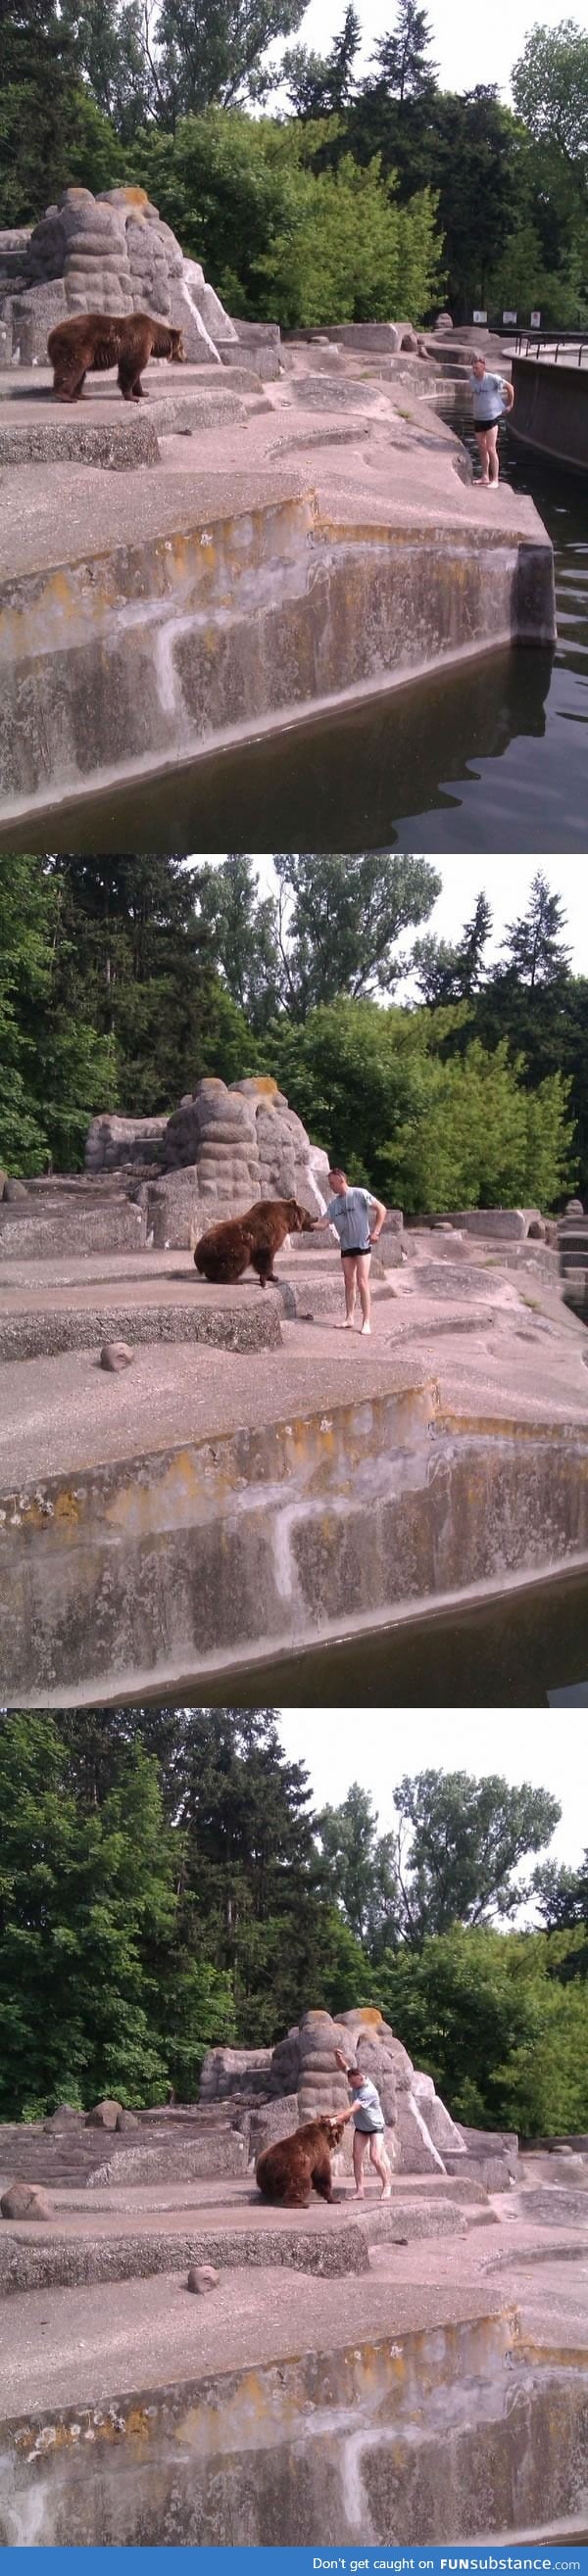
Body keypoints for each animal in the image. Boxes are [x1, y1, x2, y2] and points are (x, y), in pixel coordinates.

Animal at [48, 311, 185, 402]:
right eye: (182, 347)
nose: (185, 358)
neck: (154, 339)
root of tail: (51, 336)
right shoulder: (139, 342)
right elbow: (131, 368)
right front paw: (132, 396)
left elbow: (136, 373)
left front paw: (143, 392)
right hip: (75, 345)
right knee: (71, 369)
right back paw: (65, 396)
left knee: (79, 373)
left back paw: (81, 395)